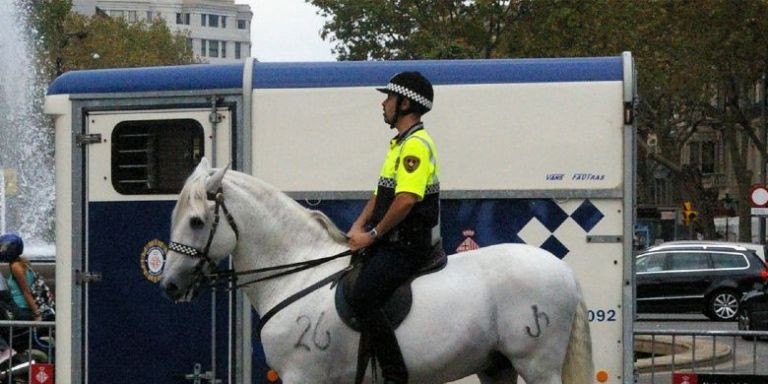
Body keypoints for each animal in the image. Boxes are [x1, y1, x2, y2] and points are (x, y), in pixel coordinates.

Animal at [160, 159, 592, 384]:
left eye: (196, 221)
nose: (170, 285)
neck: (297, 277)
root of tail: (564, 270)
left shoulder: (303, 376)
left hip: (536, 365)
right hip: (496, 366)